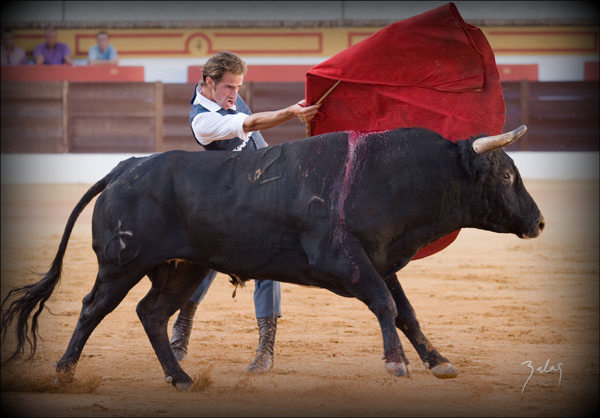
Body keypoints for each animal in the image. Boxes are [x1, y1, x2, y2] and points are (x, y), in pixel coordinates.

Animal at [0, 125, 544, 390]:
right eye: (506, 175)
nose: (539, 223)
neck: (384, 175)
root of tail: (125, 168)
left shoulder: (380, 262)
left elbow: (405, 312)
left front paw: (438, 362)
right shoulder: (343, 262)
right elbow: (387, 308)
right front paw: (395, 365)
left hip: (184, 267)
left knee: (151, 313)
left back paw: (181, 377)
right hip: (121, 265)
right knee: (94, 308)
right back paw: (65, 372)